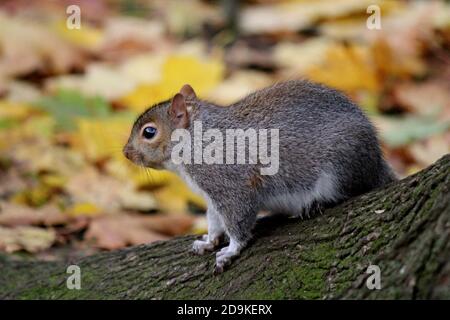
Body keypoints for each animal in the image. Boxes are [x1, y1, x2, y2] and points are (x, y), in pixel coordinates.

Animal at [124, 79, 398, 272]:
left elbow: (238, 220)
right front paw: (209, 241)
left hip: (343, 163)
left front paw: (230, 251)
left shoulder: (231, 185)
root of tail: (377, 162)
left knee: (351, 188)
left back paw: (317, 202)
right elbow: (214, 219)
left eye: (149, 132)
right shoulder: (213, 196)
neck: (197, 140)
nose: (126, 153)